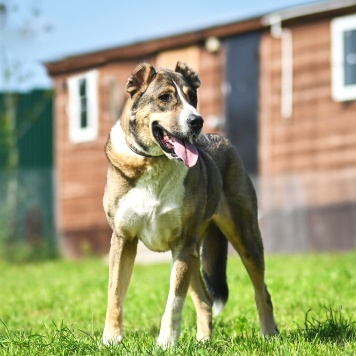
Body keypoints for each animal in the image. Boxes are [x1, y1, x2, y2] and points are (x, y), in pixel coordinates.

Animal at [102, 61, 278, 348]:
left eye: (192, 96)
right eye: (165, 97)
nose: (197, 121)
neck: (154, 162)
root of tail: (220, 138)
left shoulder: (182, 244)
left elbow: (174, 300)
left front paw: (166, 343)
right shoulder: (123, 239)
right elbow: (115, 293)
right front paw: (111, 339)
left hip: (244, 237)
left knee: (261, 291)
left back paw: (269, 334)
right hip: (196, 252)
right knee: (205, 300)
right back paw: (204, 342)